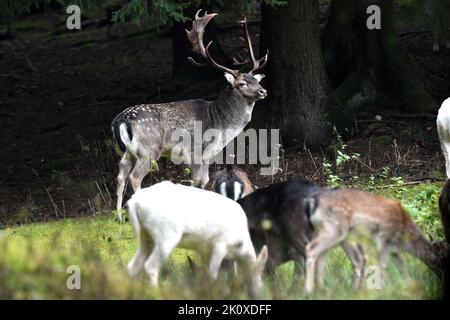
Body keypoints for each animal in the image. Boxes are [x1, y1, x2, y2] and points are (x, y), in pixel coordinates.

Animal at [111, 10, 268, 220]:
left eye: (255, 80)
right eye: (242, 83)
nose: (263, 91)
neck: (220, 122)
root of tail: (120, 121)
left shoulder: (208, 155)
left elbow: (206, 180)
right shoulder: (194, 151)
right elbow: (197, 182)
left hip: (129, 151)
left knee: (120, 175)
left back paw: (119, 217)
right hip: (149, 149)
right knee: (134, 177)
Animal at [304, 189, 444, 294]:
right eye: (440, 260)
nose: (441, 279)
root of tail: (312, 202)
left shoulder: (394, 249)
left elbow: (402, 266)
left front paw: (408, 288)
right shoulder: (383, 239)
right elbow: (383, 265)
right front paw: (381, 290)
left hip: (328, 231)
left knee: (321, 256)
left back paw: (322, 290)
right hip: (335, 228)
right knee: (311, 248)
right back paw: (308, 291)